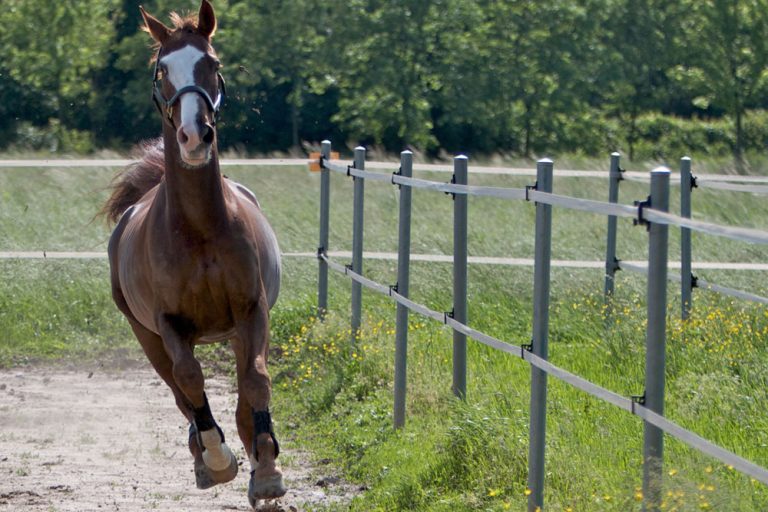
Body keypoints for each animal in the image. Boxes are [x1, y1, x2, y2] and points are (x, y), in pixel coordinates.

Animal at [101, 1, 286, 506]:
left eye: (212, 64)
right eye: (162, 69)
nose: (193, 136)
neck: (199, 229)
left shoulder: (251, 310)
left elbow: (256, 383)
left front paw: (266, 470)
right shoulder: (168, 325)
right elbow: (189, 380)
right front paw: (218, 460)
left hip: (236, 331)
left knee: (244, 394)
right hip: (146, 337)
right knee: (180, 392)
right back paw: (204, 457)